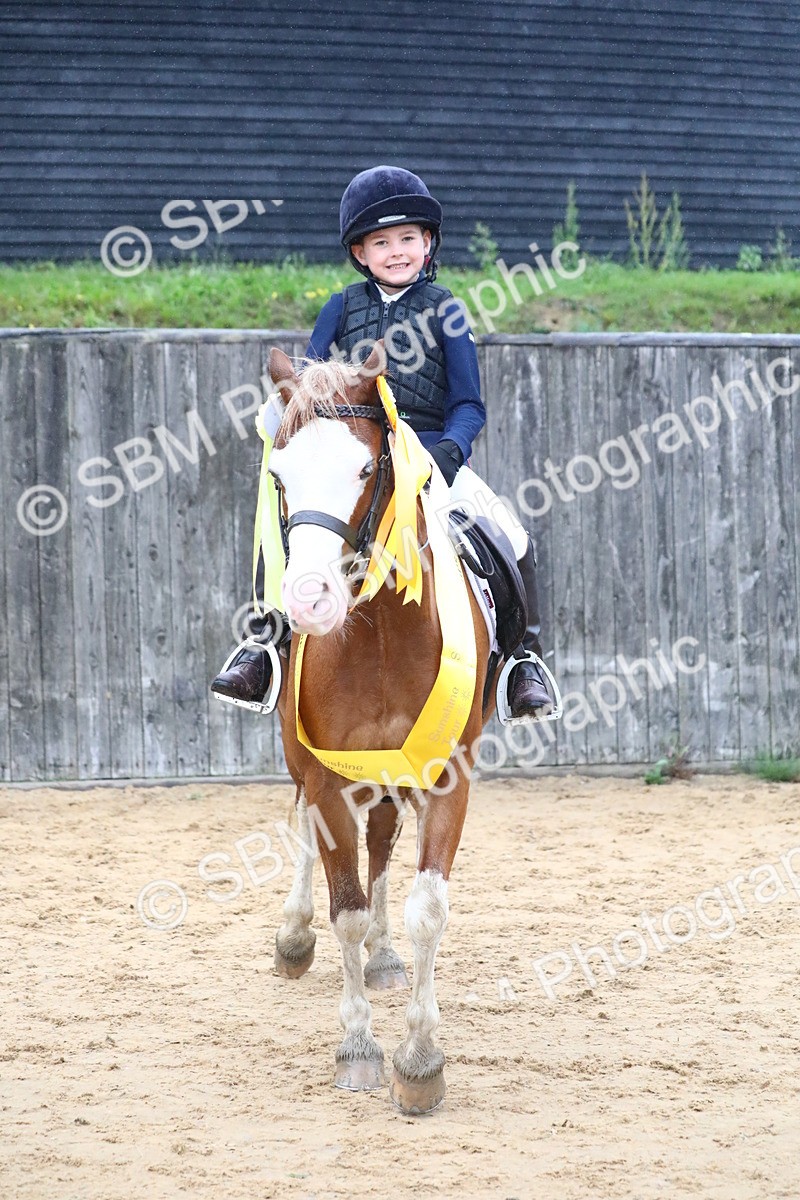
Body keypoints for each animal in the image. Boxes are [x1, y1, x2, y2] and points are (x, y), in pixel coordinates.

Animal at [265, 343, 495, 1115]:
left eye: (367, 470)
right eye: (278, 474)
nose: (309, 602)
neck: (382, 639)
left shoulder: (448, 775)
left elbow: (427, 907)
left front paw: (421, 1060)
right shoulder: (326, 776)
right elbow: (346, 910)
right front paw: (358, 1048)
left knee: (385, 847)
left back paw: (387, 957)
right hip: (306, 769)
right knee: (309, 834)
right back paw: (293, 936)